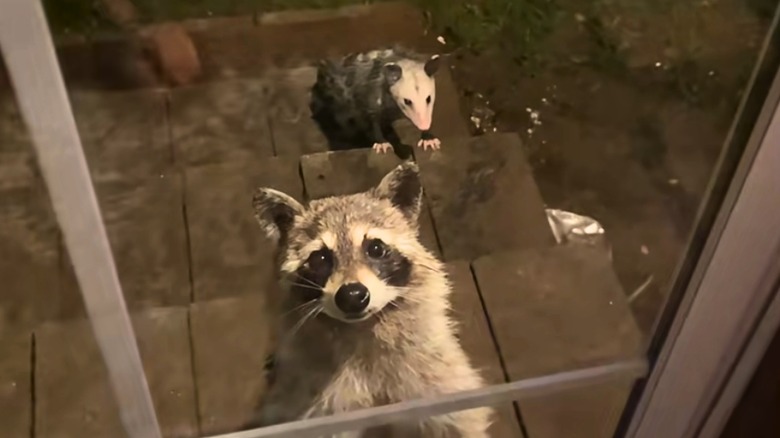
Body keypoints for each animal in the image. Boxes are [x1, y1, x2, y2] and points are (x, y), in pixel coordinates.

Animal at [253, 163, 493, 437]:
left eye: (375, 248)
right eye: (320, 259)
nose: (352, 296)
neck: (362, 327)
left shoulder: (438, 382)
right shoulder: (312, 403)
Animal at [310, 47, 442, 156]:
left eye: (428, 98)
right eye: (407, 101)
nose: (424, 125)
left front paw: (428, 138)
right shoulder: (372, 96)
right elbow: (373, 121)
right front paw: (382, 143)